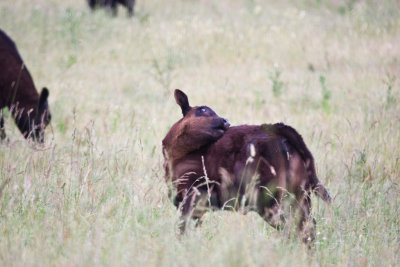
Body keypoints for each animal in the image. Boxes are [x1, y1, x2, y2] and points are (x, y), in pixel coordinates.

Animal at [162, 90, 332, 245]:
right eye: (202, 110)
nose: (225, 121)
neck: (176, 154)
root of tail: (280, 130)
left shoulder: (191, 195)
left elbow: (182, 228)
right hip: (300, 195)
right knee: (307, 227)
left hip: (273, 199)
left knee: (296, 228)